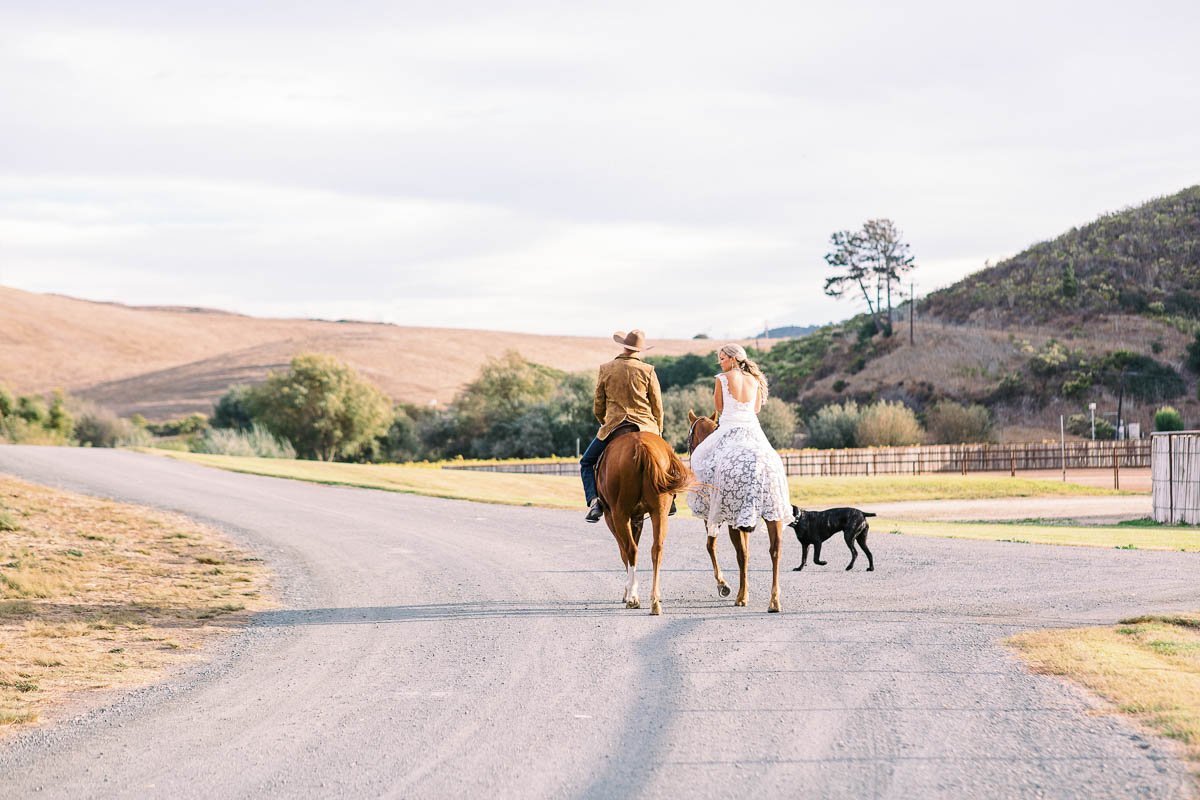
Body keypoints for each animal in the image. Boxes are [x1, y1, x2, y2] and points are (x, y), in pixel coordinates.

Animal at [600, 431, 696, 614]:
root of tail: (641, 446)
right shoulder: (638, 519)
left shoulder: (612, 517)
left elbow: (624, 552)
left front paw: (628, 591)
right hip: (660, 512)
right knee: (656, 549)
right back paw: (655, 601)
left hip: (619, 514)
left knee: (631, 550)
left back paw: (633, 598)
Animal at [686, 412, 787, 614]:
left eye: (688, 440)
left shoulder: (713, 518)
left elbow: (711, 546)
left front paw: (723, 584)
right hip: (772, 515)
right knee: (774, 551)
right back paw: (774, 599)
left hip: (735, 519)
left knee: (742, 554)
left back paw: (742, 597)